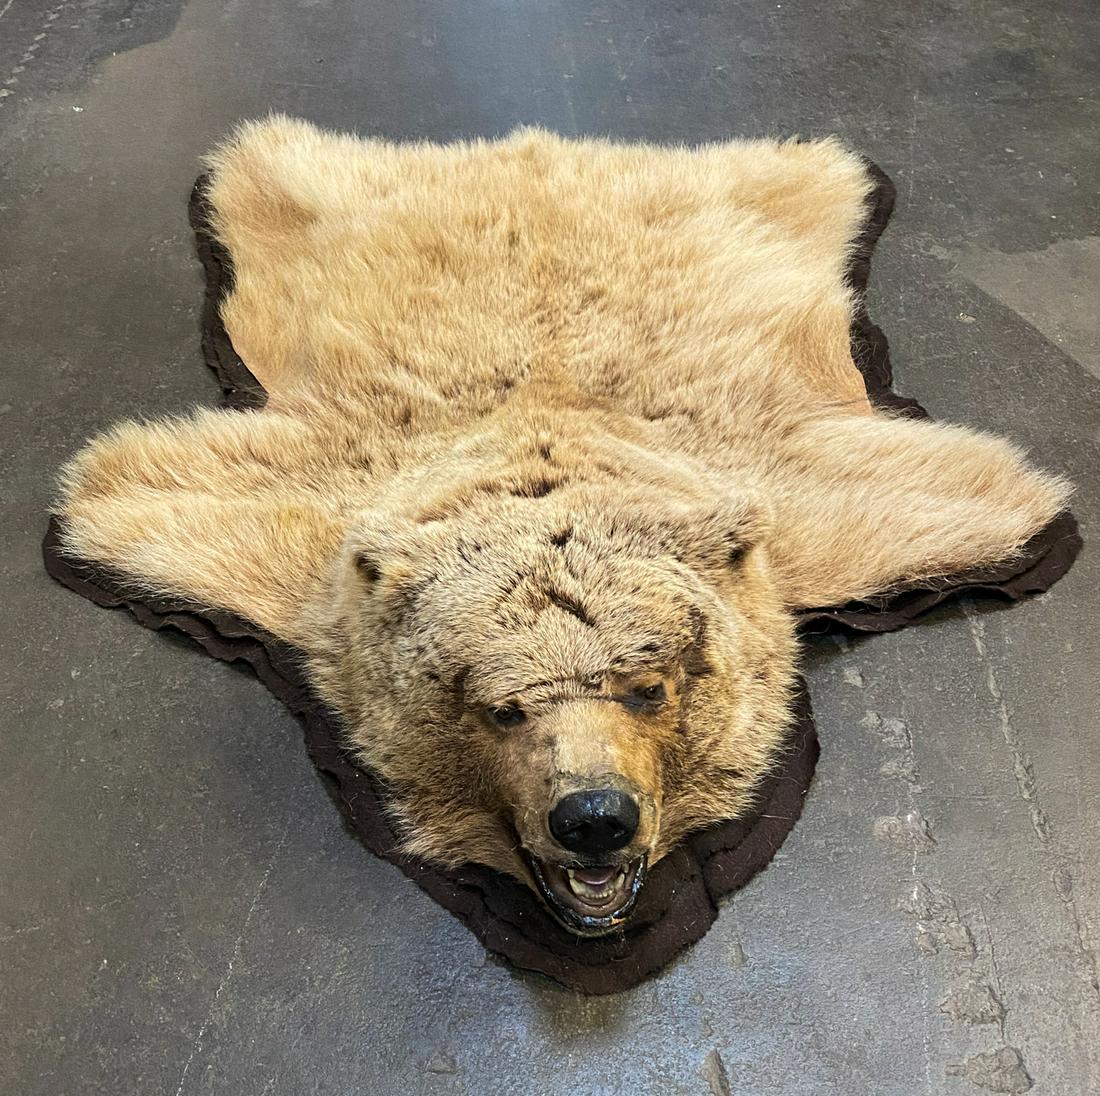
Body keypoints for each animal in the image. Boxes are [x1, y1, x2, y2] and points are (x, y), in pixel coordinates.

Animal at [55, 118, 1071, 935]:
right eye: (500, 707)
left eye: (649, 687)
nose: (592, 818)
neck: (545, 439)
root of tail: (537, 146)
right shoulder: (318, 534)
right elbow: (142, 500)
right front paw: (92, 502)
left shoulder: (786, 500)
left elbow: (936, 497)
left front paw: (1024, 504)